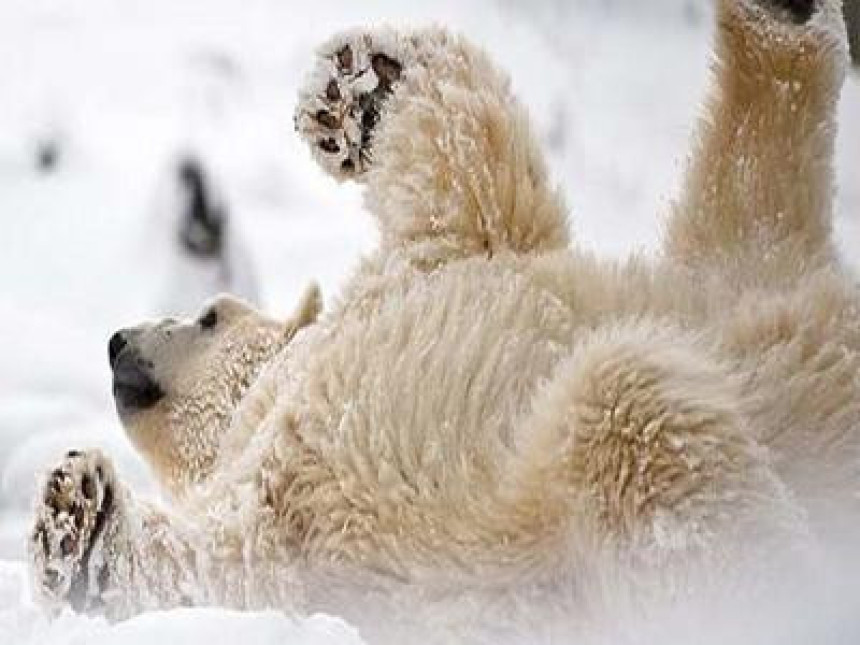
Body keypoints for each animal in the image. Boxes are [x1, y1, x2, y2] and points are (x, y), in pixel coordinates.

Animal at [26, 1, 860, 640]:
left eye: (207, 313)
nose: (117, 341)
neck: (268, 406)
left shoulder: (417, 269)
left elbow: (468, 177)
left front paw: (360, 86)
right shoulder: (286, 537)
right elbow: (213, 571)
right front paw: (78, 532)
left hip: (728, 286)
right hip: (737, 294)